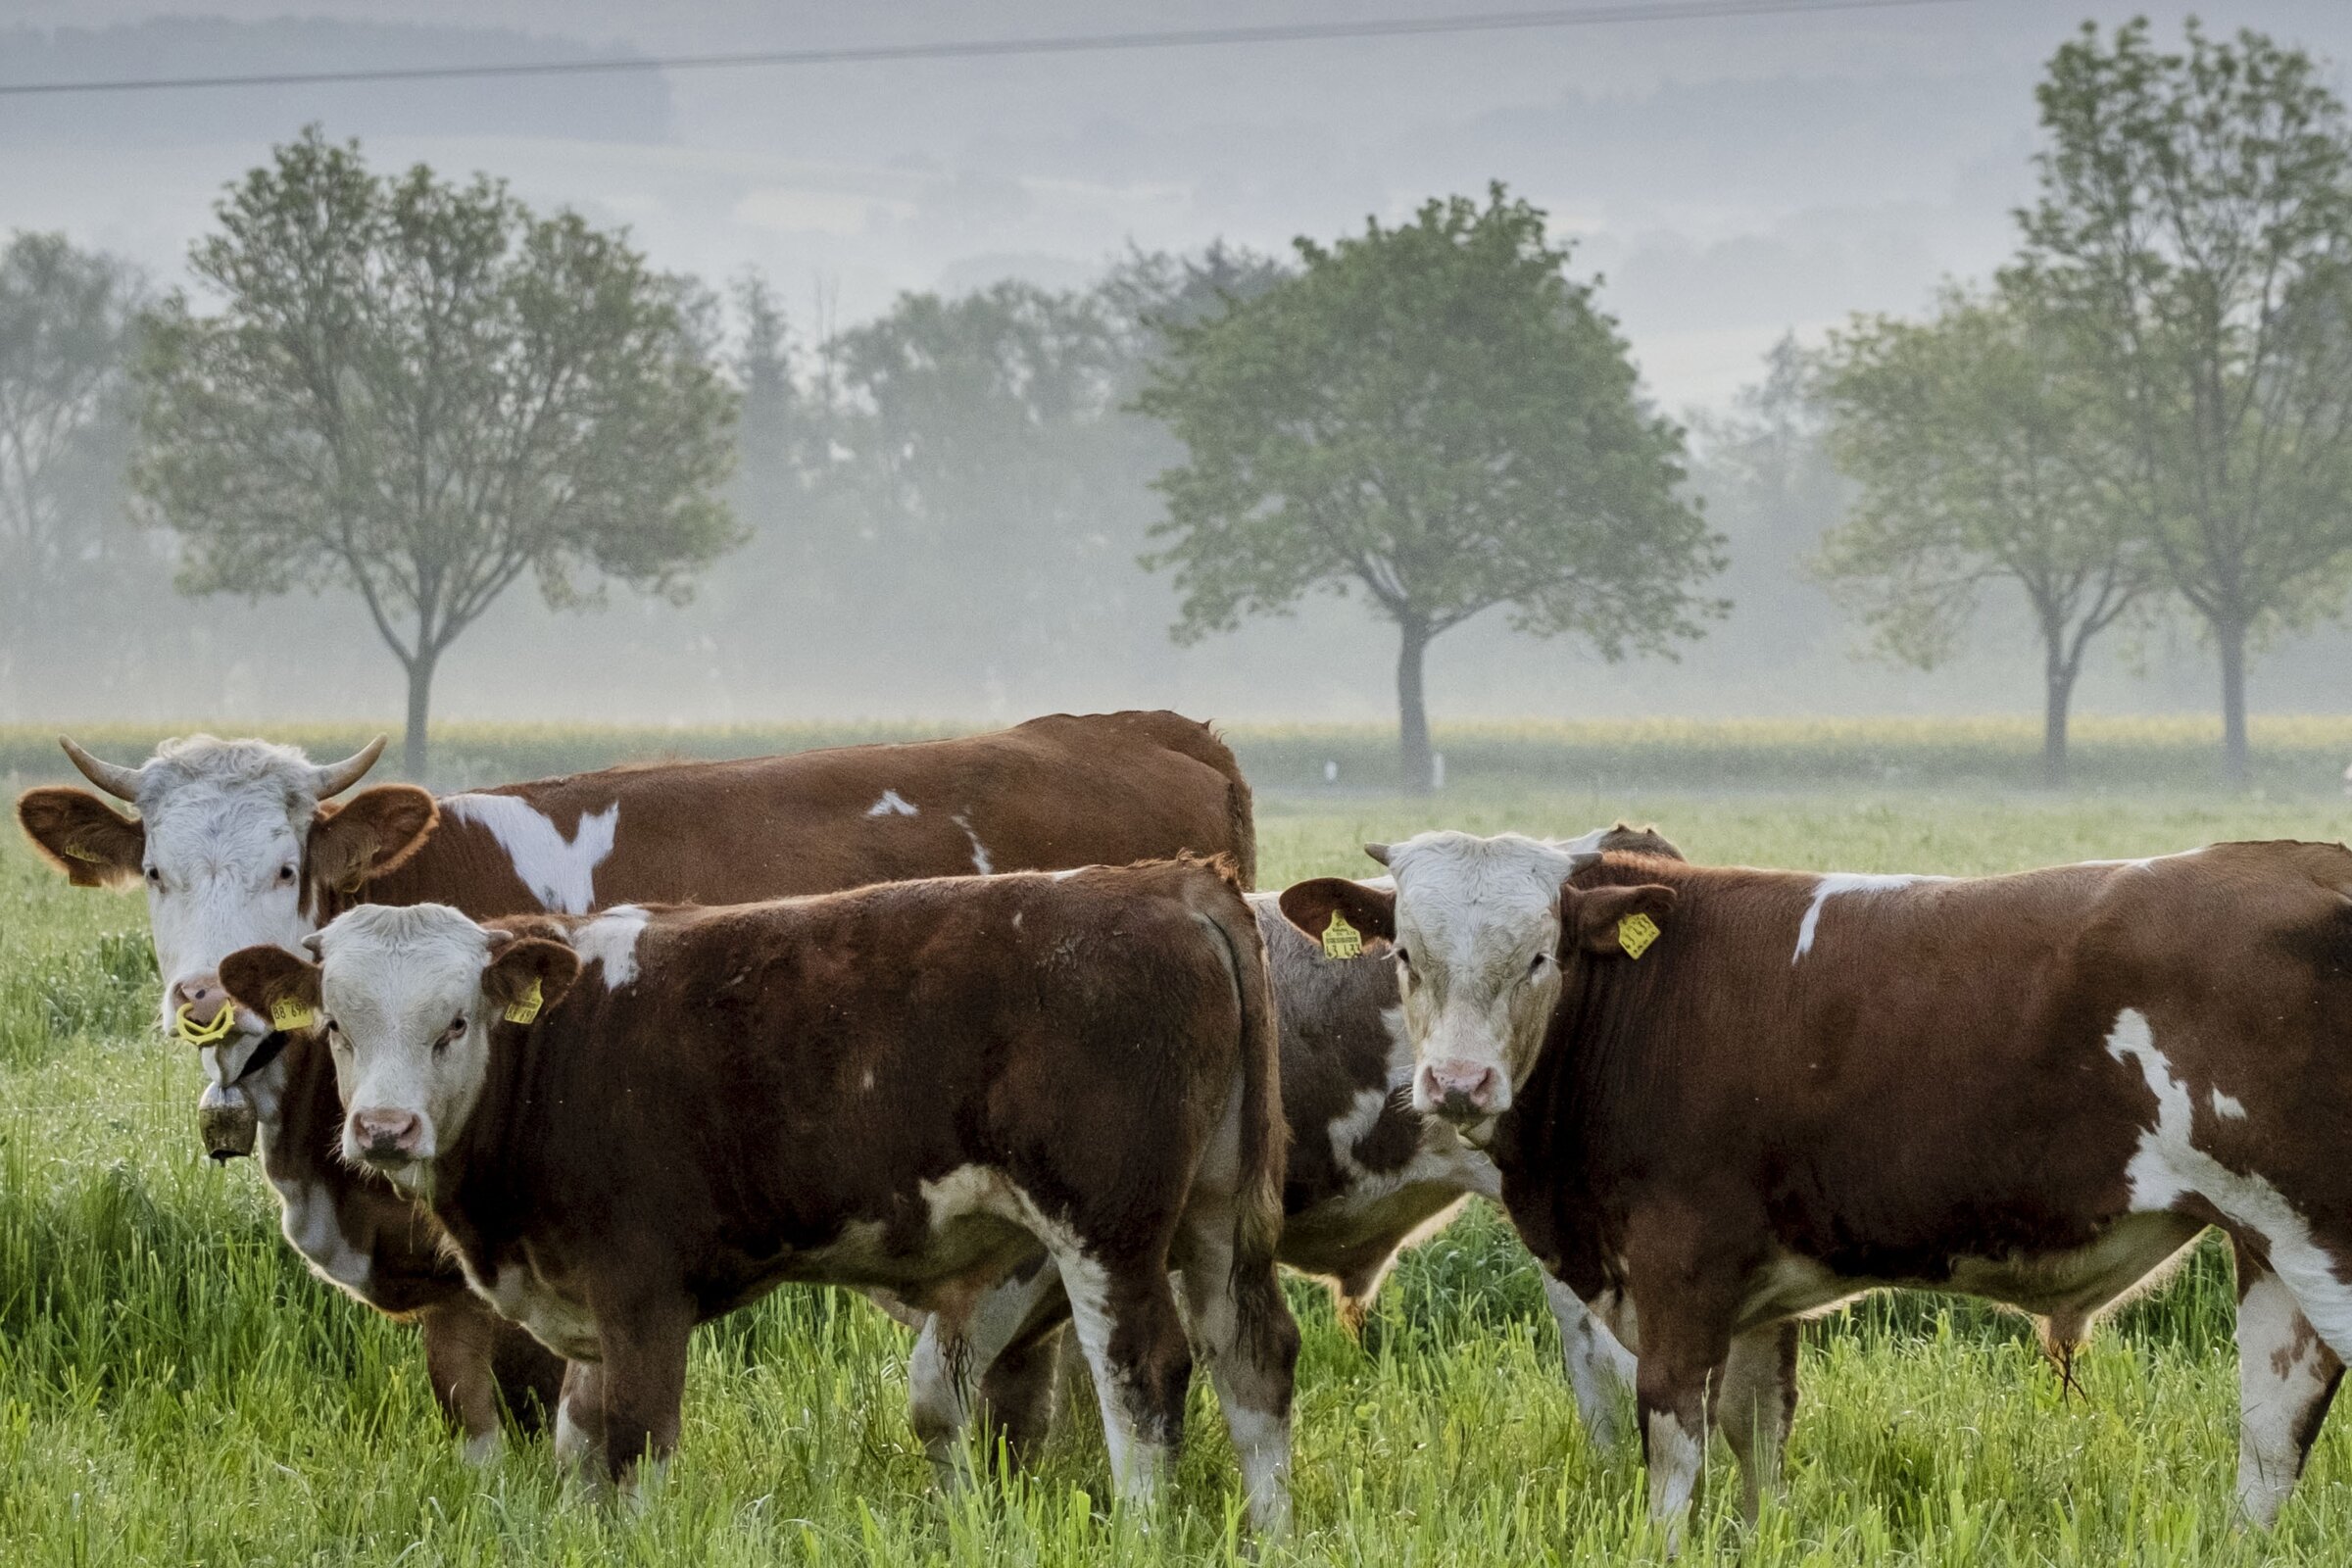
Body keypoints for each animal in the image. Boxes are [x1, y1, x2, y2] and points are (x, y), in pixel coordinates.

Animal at [217, 859, 1299, 1531]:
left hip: (1106, 1227)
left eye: (454, 1022)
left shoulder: (642, 1292)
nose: (383, 1130)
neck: (552, 1057)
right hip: (1213, 1219)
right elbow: (578, 1445)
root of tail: (1165, 882)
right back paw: (1270, 1534)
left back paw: (1143, 1531)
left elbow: (636, 1443)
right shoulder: (585, 1312)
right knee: (1253, 1361)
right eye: (338, 1024)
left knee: (1143, 1380)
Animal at [1279, 831, 2352, 1538]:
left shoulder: (1681, 1266)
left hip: (2323, 1234)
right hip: (2266, 1240)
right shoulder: (1754, 1289)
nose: (1458, 1083)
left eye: (1539, 955)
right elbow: (1759, 1437)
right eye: (1405, 954)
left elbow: (1675, 1443)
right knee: (2274, 1426)